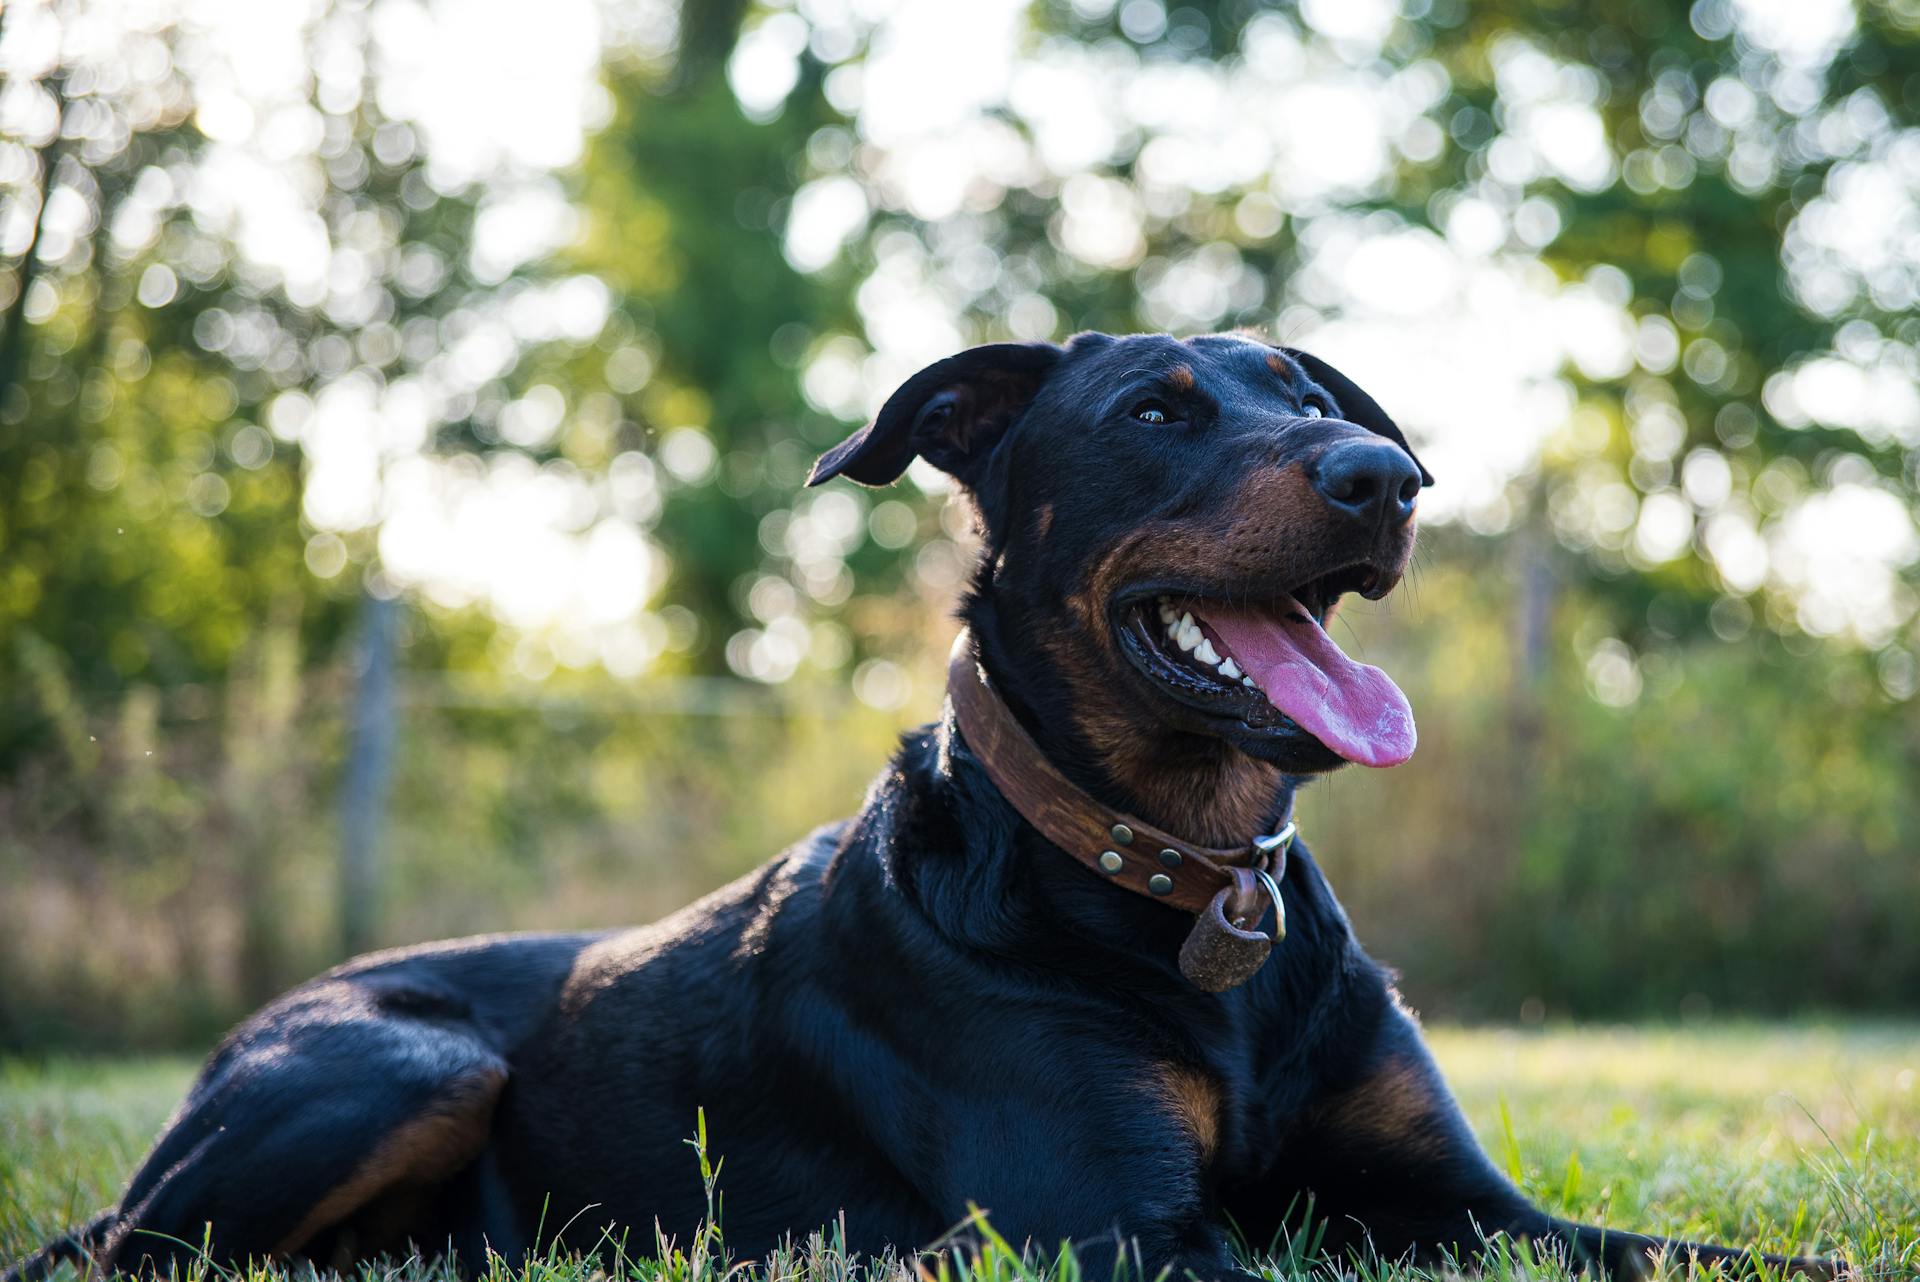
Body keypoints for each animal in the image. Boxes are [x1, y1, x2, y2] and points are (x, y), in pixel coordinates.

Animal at [7, 333, 1835, 1282]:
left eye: (1318, 397)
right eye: (1156, 411)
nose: (1382, 478)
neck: (1177, 872)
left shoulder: (1465, 1204)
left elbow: (1705, 1254)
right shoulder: (1111, 1230)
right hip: (402, 1062)